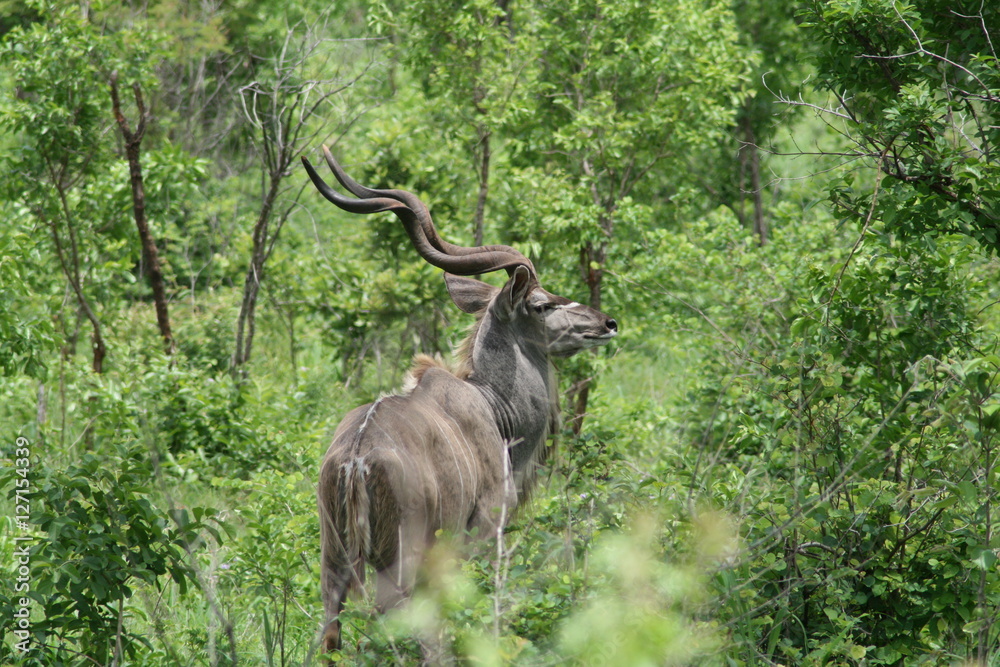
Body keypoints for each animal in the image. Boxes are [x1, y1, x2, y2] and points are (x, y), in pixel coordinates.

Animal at [301, 146, 618, 661]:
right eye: (542, 303)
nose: (607, 323)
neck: (495, 408)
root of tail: (355, 462)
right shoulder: (484, 529)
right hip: (399, 560)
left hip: (334, 557)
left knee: (331, 630)